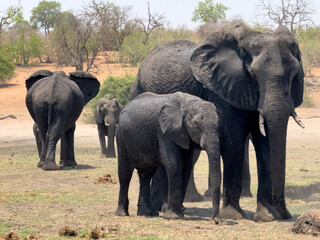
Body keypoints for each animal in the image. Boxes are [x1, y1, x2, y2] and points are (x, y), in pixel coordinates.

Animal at [131, 20, 304, 221]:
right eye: (253, 74)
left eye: (294, 74)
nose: (286, 215)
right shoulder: (223, 89)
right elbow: (234, 140)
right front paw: (234, 216)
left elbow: (266, 141)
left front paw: (267, 217)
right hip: (139, 91)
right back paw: (162, 209)